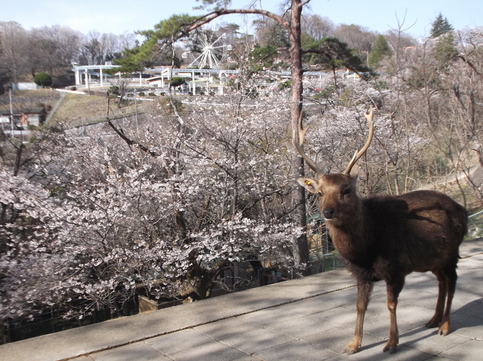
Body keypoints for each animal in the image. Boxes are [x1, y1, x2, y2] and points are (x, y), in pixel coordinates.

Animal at [294, 108, 468, 352]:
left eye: (346, 190)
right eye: (319, 193)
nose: (328, 211)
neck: (365, 251)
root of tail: (463, 210)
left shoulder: (395, 267)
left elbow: (391, 304)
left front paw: (391, 342)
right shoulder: (360, 274)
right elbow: (359, 306)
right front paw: (353, 344)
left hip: (452, 251)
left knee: (452, 281)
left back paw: (444, 326)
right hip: (433, 258)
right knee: (442, 281)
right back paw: (433, 320)